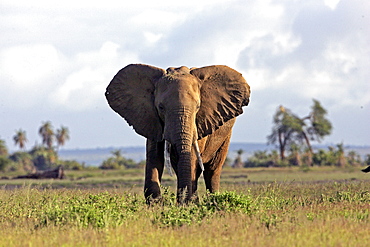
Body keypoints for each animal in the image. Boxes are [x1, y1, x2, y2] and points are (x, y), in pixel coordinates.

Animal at [105, 64, 250, 204]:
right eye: (161, 107)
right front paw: (156, 204)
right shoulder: (152, 120)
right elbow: (154, 156)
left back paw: (212, 202)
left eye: (198, 107)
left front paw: (186, 204)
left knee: (212, 169)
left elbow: (191, 158)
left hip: (226, 135)